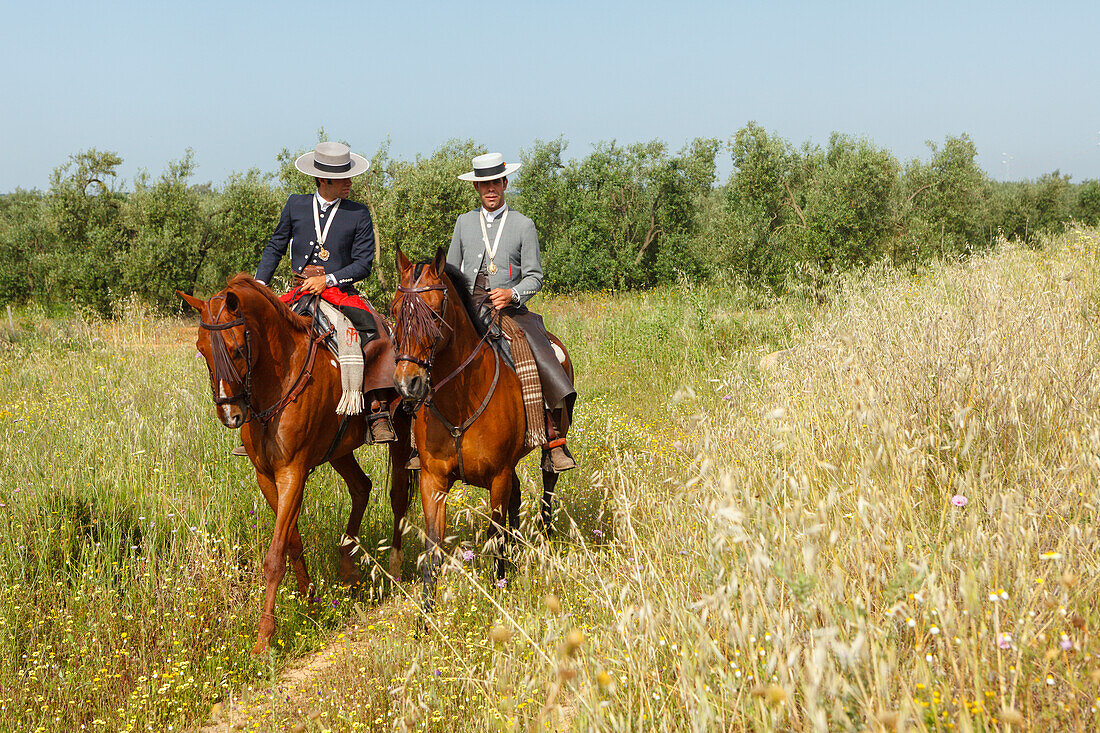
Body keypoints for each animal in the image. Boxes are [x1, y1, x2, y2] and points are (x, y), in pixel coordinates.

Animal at [180, 274, 413, 651]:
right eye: (203, 349)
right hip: (340, 450)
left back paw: (394, 569)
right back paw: (347, 566)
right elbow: (292, 542)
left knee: (398, 497)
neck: (276, 381)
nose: (231, 414)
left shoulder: (293, 472)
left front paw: (264, 638)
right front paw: (309, 600)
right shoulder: (266, 476)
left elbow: (275, 555)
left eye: (237, 349)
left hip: (402, 438)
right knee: (361, 487)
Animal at [389, 248, 576, 603]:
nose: (408, 383)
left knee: (547, 485)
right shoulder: (433, 480)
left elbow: (495, 534)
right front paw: (426, 612)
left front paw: (499, 586)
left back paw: (545, 541)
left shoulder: (497, 476)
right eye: (395, 312)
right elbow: (432, 547)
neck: (461, 398)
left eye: (434, 313)